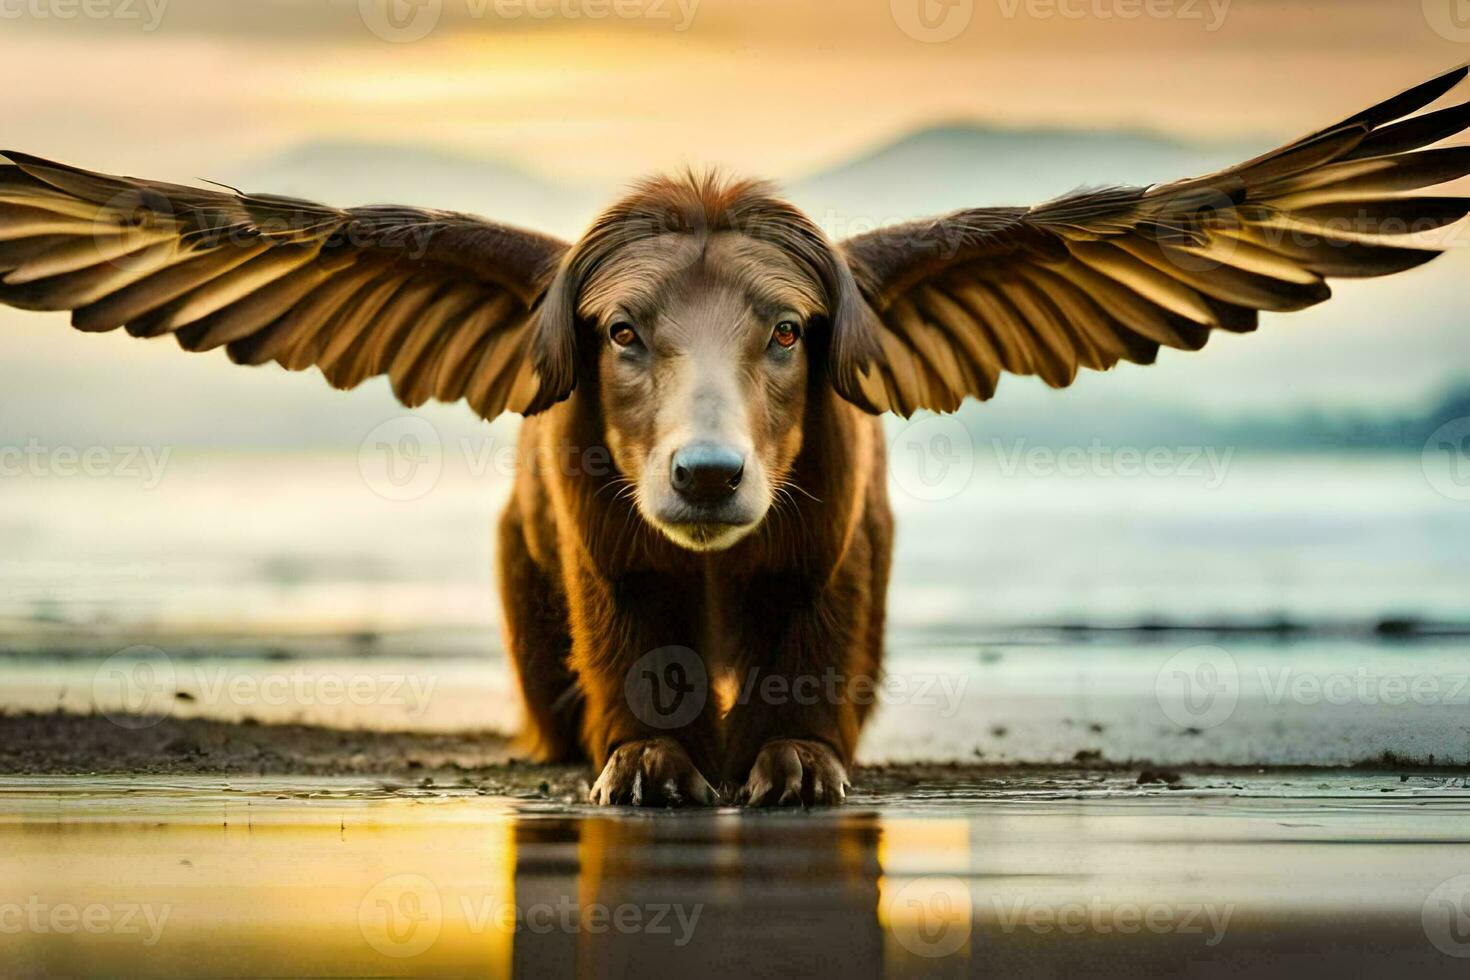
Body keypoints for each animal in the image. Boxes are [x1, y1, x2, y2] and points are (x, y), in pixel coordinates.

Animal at [0, 67, 1464, 805]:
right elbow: (632, 653)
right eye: (621, 332)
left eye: (785, 332)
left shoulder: (824, 554)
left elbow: (805, 654)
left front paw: (794, 765)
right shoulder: (608, 557)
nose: (707, 473)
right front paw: (651, 766)